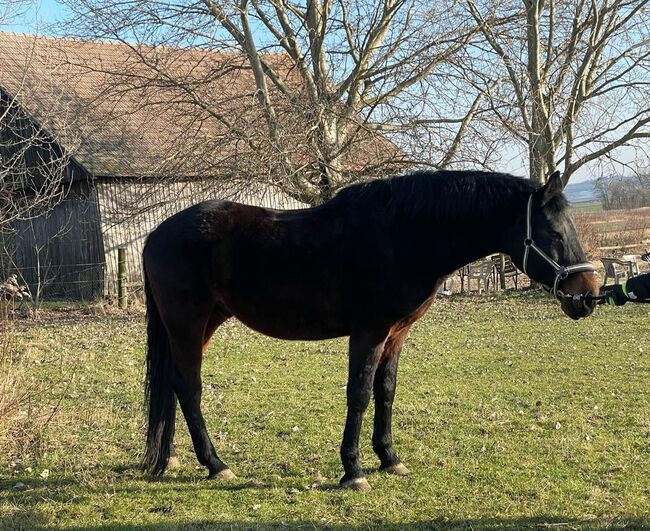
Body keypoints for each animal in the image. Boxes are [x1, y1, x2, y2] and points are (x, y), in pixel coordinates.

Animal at [142, 169, 596, 490]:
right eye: (554, 232)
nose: (588, 294)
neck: (404, 235)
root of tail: (155, 235)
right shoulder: (369, 333)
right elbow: (359, 394)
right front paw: (353, 470)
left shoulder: (396, 334)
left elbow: (386, 391)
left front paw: (390, 459)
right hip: (187, 324)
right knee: (190, 388)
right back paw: (215, 464)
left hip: (204, 324)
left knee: (175, 386)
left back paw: (170, 458)